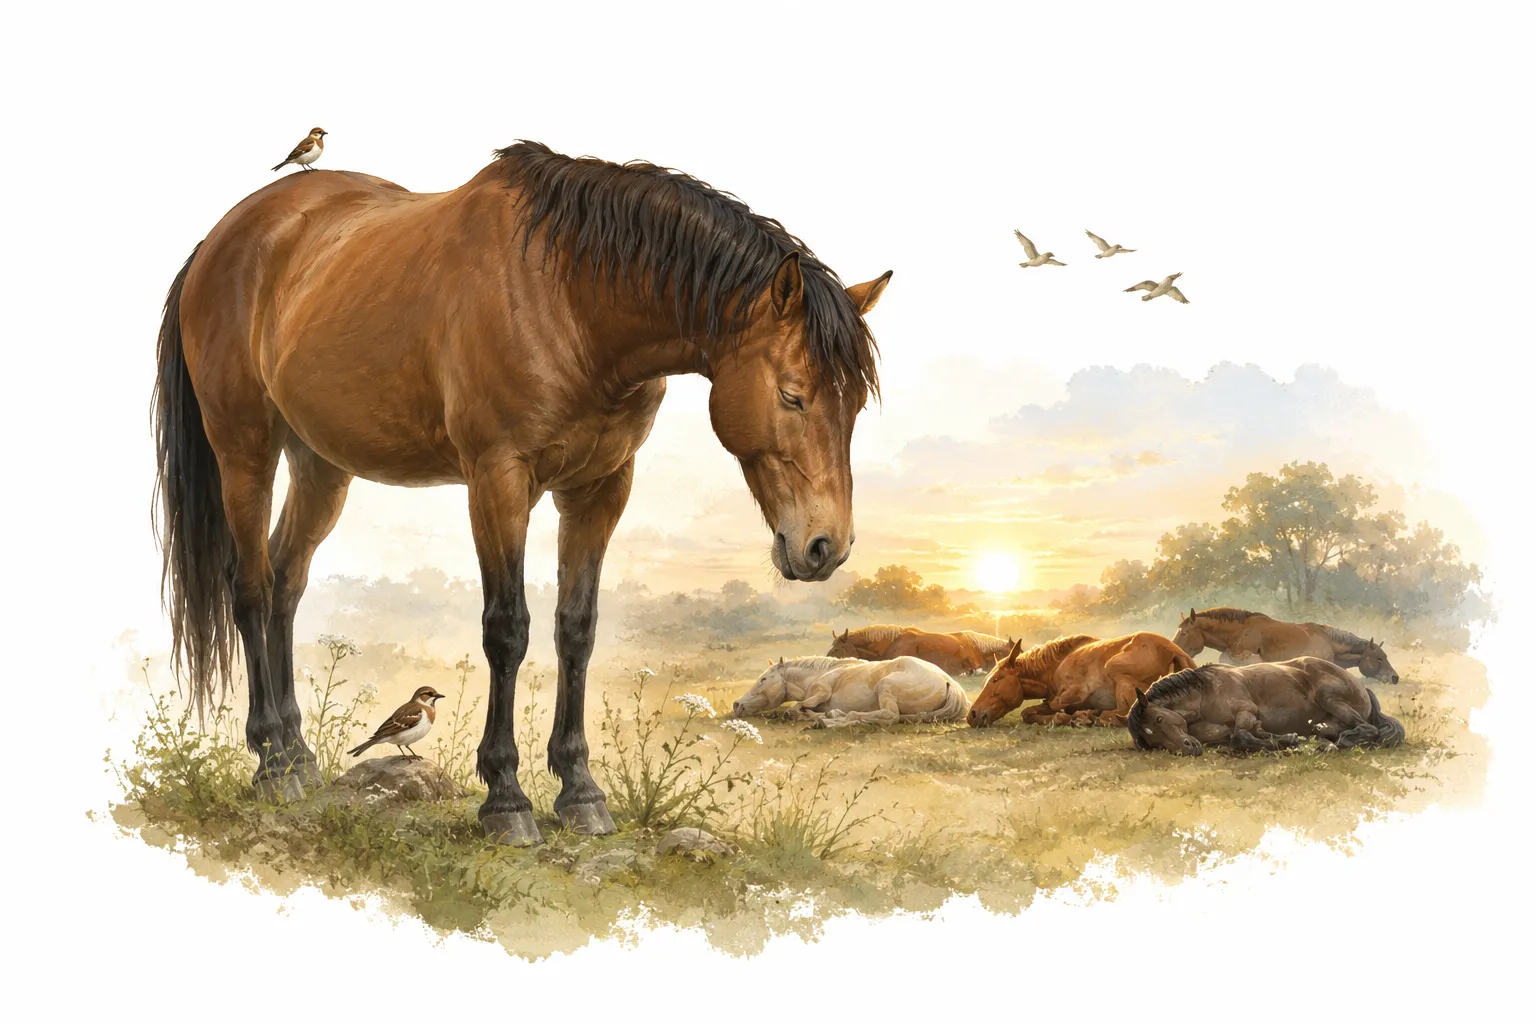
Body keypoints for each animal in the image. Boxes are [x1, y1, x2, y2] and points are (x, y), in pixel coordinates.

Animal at [154, 141, 891, 846]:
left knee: (286, 582)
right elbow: (507, 630)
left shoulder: (599, 488)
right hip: (245, 446)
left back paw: (299, 754)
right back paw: (271, 763)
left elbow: (576, 628)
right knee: (251, 587)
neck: (568, 298)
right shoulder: (498, 481)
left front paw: (581, 791)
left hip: (320, 463)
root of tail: (223, 237)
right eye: (792, 395)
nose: (825, 547)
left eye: (855, 404)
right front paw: (505, 798)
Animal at [731, 656, 969, 728]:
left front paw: (803, 715)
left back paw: (826, 722)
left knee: (889, 717)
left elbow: (797, 707)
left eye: (763, 679)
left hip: (885, 687)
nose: (736, 704)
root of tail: (949, 681)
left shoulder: (821, 693)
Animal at [967, 633, 1195, 728]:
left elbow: (1057, 705)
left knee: (1117, 715)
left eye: (997, 679)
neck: (1056, 664)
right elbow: (1028, 713)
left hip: (1116, 671)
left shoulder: (1076, 692)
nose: (972, 715)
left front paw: (1074, 716)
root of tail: (1175, 652)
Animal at [1127, 657, 1406, 756]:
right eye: (1151, 741)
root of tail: (1363, 687)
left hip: (1330, 697)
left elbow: (1240, 737)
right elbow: (1247, 737)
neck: (1204, 694)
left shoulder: (1246, 713)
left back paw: (1342, 741)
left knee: (1369, 730)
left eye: (1160, 719)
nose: (1188, 749)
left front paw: (1290, 740)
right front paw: (1288, 740)